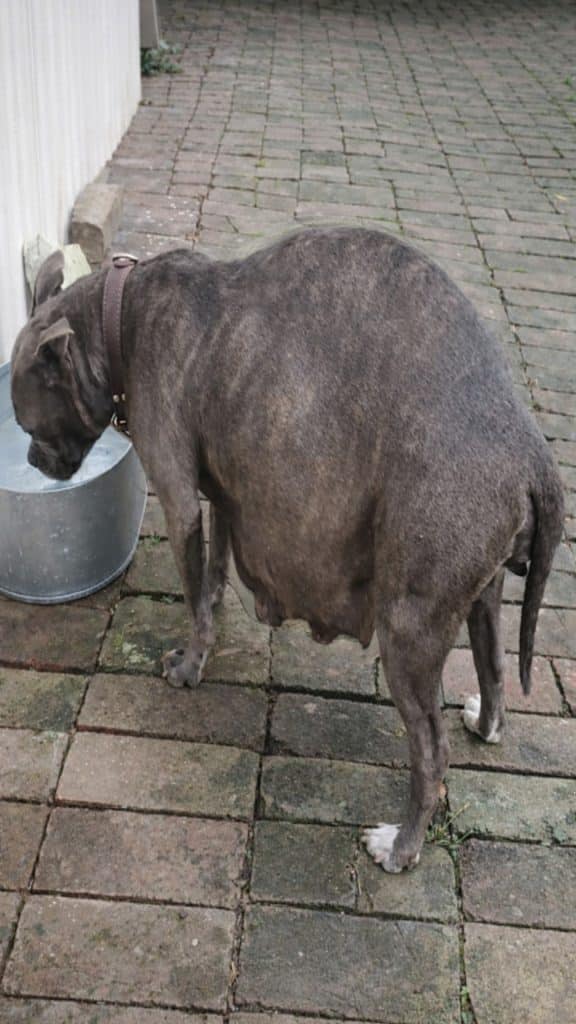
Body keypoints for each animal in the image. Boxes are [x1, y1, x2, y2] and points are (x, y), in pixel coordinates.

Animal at [11, 227, 564, 873]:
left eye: (28, 424)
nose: (31, 461)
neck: (120, 312)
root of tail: (530, 450)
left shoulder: (178, 500)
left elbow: (193, 595)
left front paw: (189, 667)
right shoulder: (225, 496)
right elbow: (214, 576)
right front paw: (213, 620)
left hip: (409, 627)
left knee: (432, 751)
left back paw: (401, 847)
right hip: (484, 593)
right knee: (495, 666)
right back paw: (486, 724)